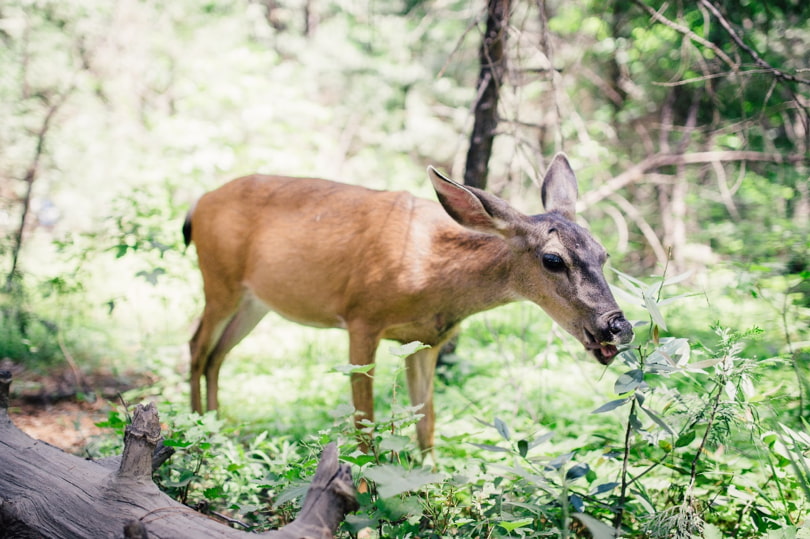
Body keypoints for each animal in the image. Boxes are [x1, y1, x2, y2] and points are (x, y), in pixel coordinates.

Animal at [183, 153, 634, 452]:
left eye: (604, 253)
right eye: (553, 259)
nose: (618, 326)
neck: (431, 272)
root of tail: (198, 202)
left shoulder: (428, 340)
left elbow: (426, 423)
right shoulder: (361, 317)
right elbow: (365, 422)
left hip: (254, 302)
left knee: (217, 354)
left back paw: (218, 431)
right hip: (218, 282)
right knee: (196, 346)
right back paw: (196, 433)